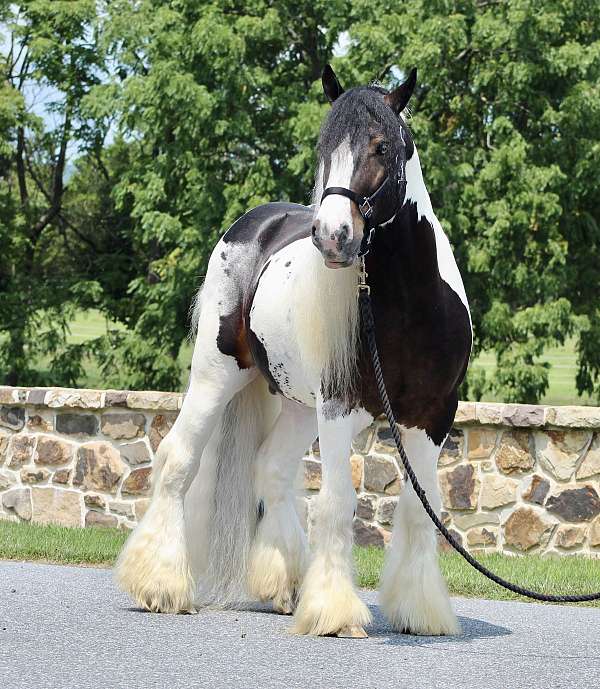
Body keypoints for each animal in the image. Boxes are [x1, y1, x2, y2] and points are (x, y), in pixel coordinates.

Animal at [115, 66, 474, 640]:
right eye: (324, 147)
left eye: (382, 146)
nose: (333, 236)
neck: (410, 304)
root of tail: (252, 223)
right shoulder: (341, 406)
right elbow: (337, 504)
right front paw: (335, 613)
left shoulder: (433, 415)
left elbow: (422, 510)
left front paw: (421, 611)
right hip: (219, 376)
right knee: (178, 459)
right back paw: (161, 585)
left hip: (301, 407)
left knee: (273, 470)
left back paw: (284, 586)